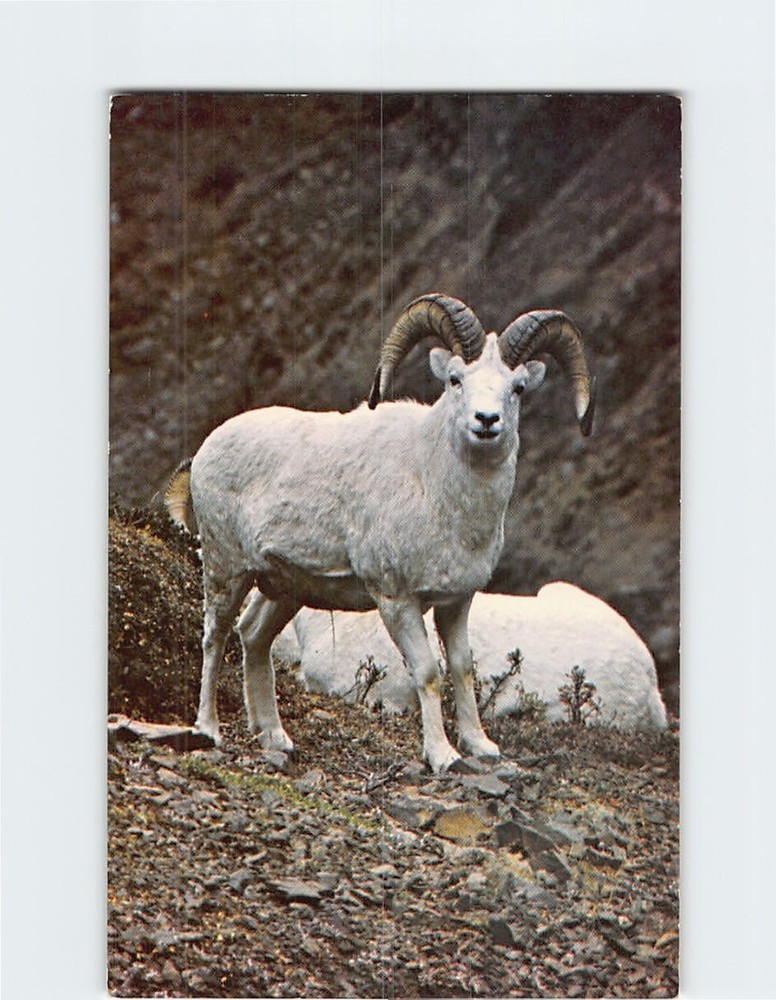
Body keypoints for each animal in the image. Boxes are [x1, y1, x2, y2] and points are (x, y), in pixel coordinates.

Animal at [165, 293, 595, 772]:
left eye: (517, 387)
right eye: (455, 380)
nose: (486, 421)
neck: (438, 490)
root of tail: (207, 450)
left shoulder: (456, 603)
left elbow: (462, 668)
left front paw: (480, 745)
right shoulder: (397, 600)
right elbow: (428, 672)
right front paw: (442, 756)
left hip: (286, 588)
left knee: (253, 636)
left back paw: (274, 737)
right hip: (226, 570)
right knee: (215, 636)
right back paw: (208, 729)